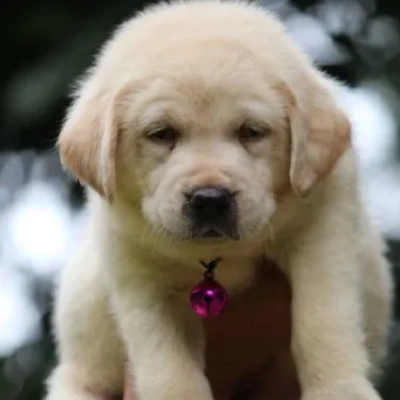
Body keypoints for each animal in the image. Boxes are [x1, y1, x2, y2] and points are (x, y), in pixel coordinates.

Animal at [45, 0, 392, 400]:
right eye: (161, 133)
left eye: (252, 132)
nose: (210, 199)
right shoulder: (138, 272)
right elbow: (169, 365)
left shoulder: (324, 228)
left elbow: (323, 319)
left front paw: (339, 389)